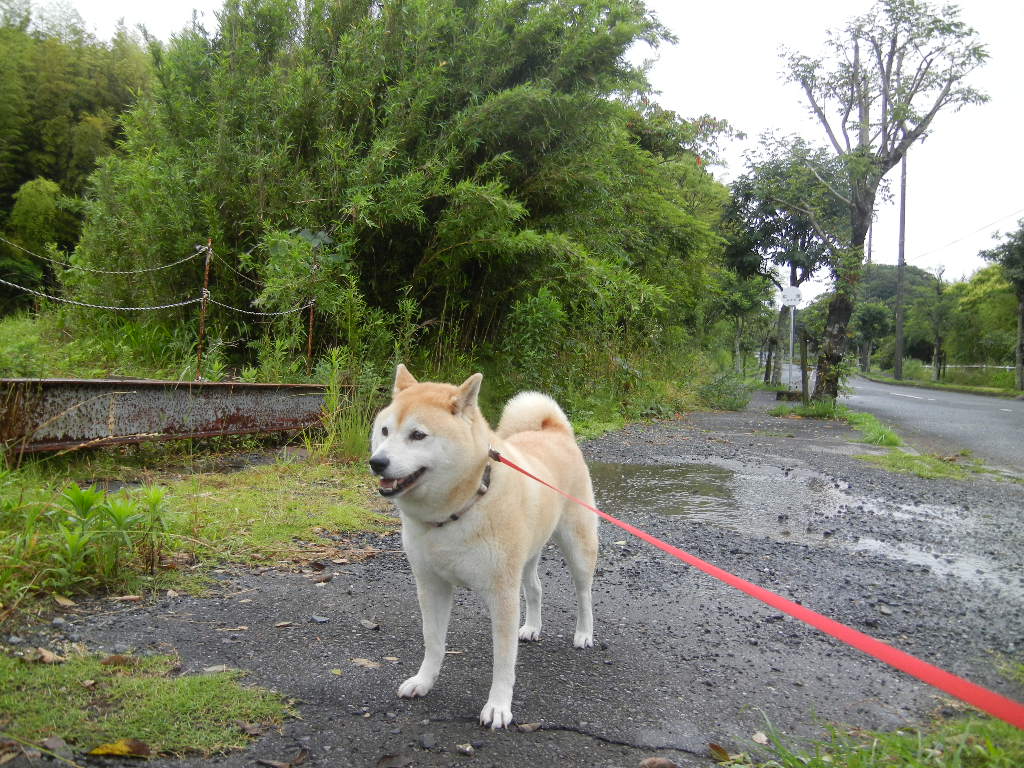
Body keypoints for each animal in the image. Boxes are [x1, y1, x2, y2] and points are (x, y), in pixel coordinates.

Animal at [368, 364, 598, 729]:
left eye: (418, 435)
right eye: (385, 431)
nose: (377, 462)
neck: (455, 512)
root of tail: (556, 432)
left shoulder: (501, 594)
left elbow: (503, 661)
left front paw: (499, 706)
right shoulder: (431, 586)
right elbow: (433, 643)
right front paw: (423, 681)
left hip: (577, 547)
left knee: (584, 593)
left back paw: (584, 634)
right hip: (527, 556)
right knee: (535, 588)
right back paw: (531, 628)